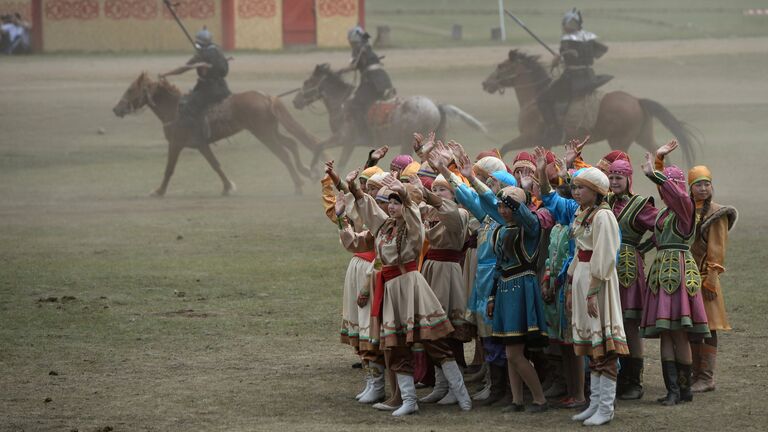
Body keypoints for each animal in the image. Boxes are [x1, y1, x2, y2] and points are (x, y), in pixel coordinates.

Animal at [112, 72, 322, 196]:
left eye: (130, 90)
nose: (116, 109)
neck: (175, 110)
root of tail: (266, 97)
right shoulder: (201, 145)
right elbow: (215, 165)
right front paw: (227, 186)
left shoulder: (176, 143)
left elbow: (169, 168)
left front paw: (159, 191)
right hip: (272, 131)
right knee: (292, 144)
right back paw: (306, 172)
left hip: (264, 134)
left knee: (283, 154)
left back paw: (298, 184)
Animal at [292, 62, 488, 170]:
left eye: (307, 82)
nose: (295, 101)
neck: (341, 102)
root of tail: (436, 105)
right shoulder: (348, 142)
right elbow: (323, 149)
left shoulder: (345, 140)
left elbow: (321, 148)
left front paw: (314, 171)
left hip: (407, 142)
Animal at [484, 49, 700, 164]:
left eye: (501, 66)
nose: (486, 83)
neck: (533, 99)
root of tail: (637, 100)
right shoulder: (543, 143)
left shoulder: (529, 137)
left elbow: (505, 147)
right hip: (642, 135)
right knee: (659, 151)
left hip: (620, 140)